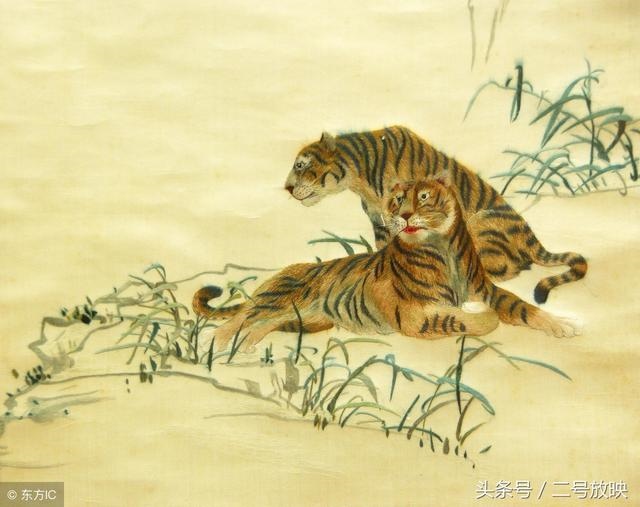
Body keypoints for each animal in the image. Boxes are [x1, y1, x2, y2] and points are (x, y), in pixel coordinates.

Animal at [193, 174, 577, 354]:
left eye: (423, 196)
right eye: (396, 200)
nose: (403, 214)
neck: (442, 246)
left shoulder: (487, 288)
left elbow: (522, 307)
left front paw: (563, 324)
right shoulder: (416, 313)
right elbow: (482, 320)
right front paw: (474, 313)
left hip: (303, 319)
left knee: (257, 324)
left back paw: (244, 346)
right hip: (279, 299)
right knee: (242, 317)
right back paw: (216, 342)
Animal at [283, 126, 587, 304]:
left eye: (301, 165)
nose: (286, 188)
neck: (358, 176)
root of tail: (528, 232)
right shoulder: (377, 215)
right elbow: (383, 247)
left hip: (480, 222)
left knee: (511, 267)